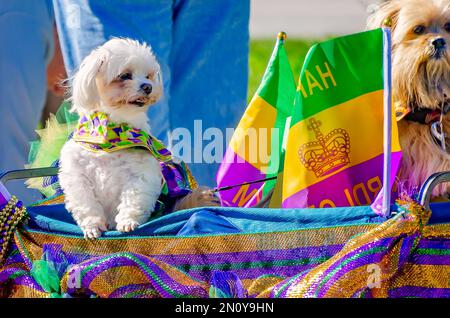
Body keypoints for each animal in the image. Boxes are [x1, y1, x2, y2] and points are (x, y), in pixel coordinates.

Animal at [59, 38, 165, 238]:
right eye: (125, 75)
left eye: (148, 76)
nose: (148, 87)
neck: (113, 135)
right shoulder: (77, 175)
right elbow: (87, 203)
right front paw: (92, 226)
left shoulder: (140, 172)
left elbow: (133, 197)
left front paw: (127, 221)